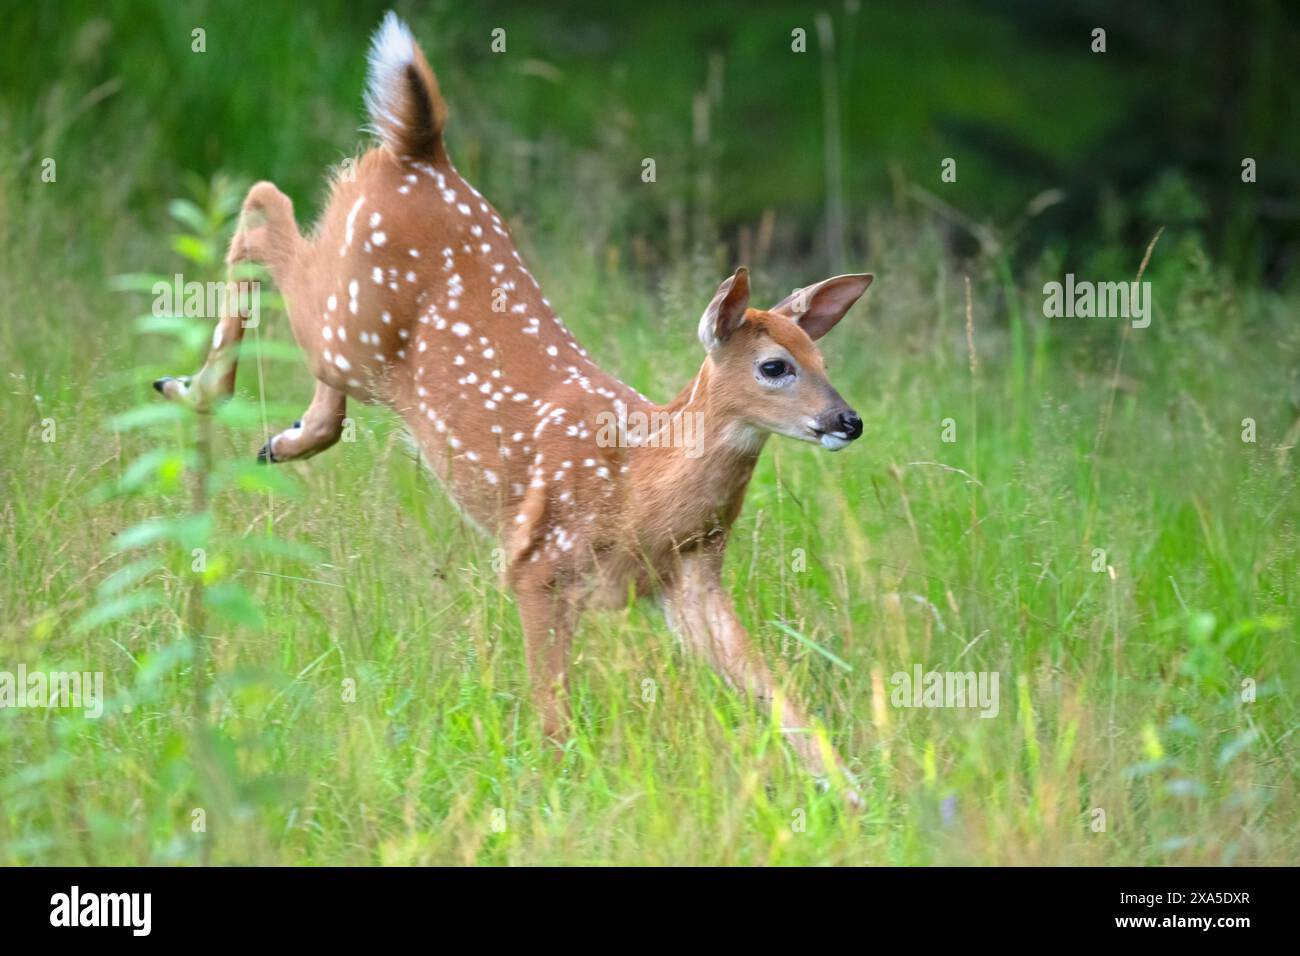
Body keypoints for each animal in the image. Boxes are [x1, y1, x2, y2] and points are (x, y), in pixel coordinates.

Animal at [153, 12, 874, 808]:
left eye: (824, 363)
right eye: (775, 367)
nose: (847, 421)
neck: (640, 483)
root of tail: (423, 148)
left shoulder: (687, 580)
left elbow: (773, 689)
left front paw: (852, 794)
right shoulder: (537, 561)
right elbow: (552, 706)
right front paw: (553, 793)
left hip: (352, 336)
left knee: (313, 352)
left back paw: (278, 437)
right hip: (345, 315)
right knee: (263, 205)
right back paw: (191, 388)